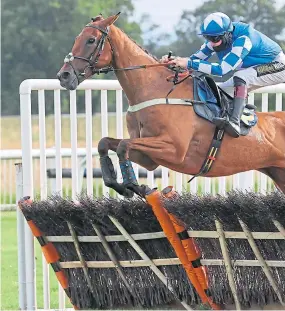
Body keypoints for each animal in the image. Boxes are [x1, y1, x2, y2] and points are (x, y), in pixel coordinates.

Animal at [57, 13, 284, 196]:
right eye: (77, 38)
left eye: (91, 40)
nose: (63, 76)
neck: (155, 89)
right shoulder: (148, 157)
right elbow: (106, 143)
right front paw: (120, 184)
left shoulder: (175, 149)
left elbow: (123, 146)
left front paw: (133, 185)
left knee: (240, 79)